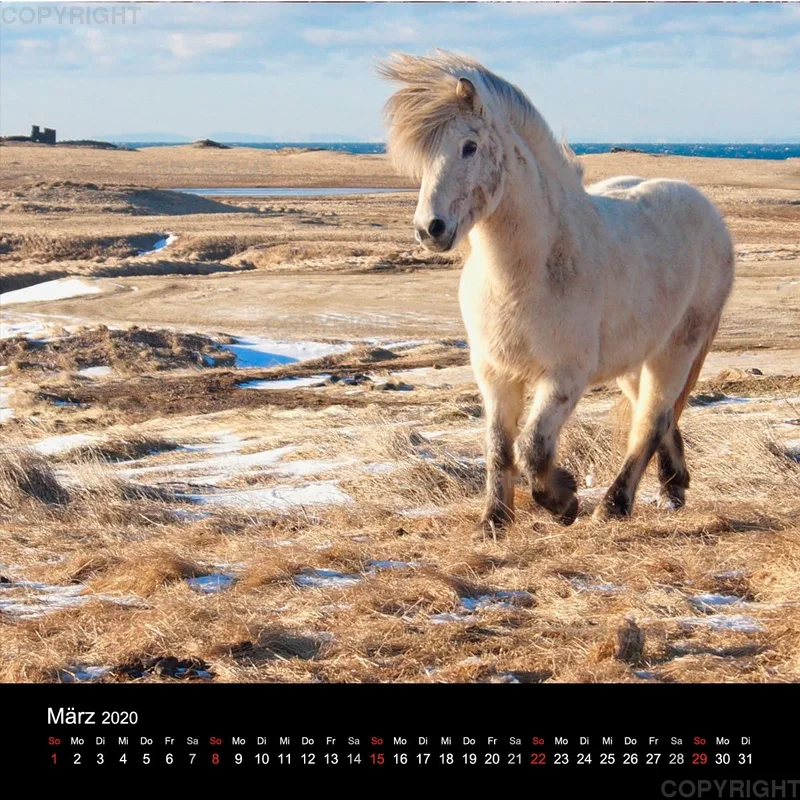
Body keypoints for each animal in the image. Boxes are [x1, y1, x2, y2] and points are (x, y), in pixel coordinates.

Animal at [379, 51, 734, 534]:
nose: (429, 229)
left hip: (677, 348)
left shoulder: (564, 378)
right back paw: (672, 488)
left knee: (652, 419)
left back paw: (614, 505)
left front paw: (563, 500)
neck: (526, 274)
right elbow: (499, 447)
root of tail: (708, 212)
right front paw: (494, 521)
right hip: (632, 358)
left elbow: (532, 447)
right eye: (422, 158)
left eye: (469, 146)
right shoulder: (494, 374)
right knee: (656, 417)